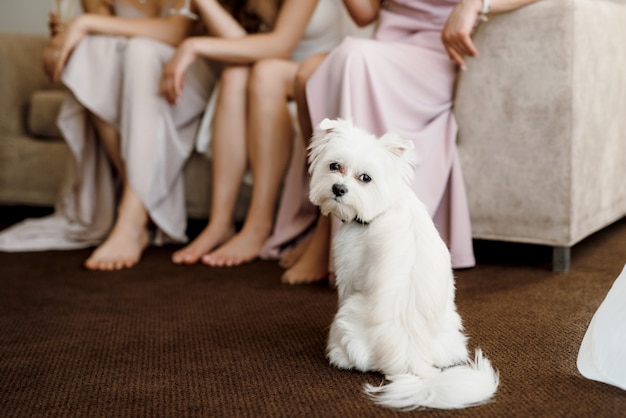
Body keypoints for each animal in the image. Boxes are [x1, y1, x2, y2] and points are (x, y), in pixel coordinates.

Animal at [308, 119, 498, 410]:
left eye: (365, 178)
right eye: (334, 166)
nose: (338, 189)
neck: (384, 207)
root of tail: (411, 361)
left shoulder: (348, 272)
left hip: (345, 320)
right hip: (452, 330)